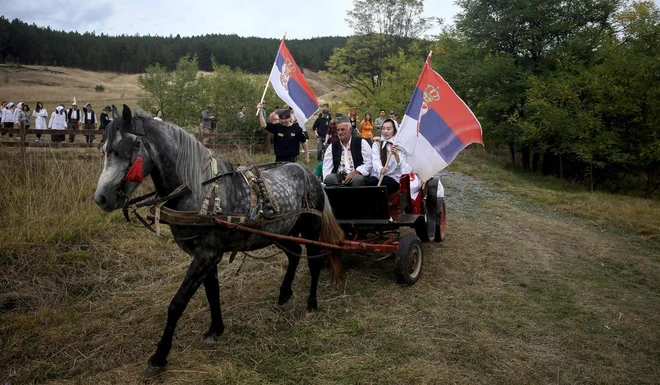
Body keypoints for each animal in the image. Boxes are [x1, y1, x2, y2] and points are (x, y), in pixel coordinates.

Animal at [95, 105, 342, 378]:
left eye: (125, 148)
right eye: (104, 148)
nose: (101, 198)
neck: (199, 191)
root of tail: (309, 174)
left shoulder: (206, 256)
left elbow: (177, 303)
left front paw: (159, 357)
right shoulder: (206, 255)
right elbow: (212, 291)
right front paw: (215, 329)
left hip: (310, 229)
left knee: (313, 262)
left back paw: (311, 304)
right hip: (280, 231)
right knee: (293, 254)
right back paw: (284, 293)